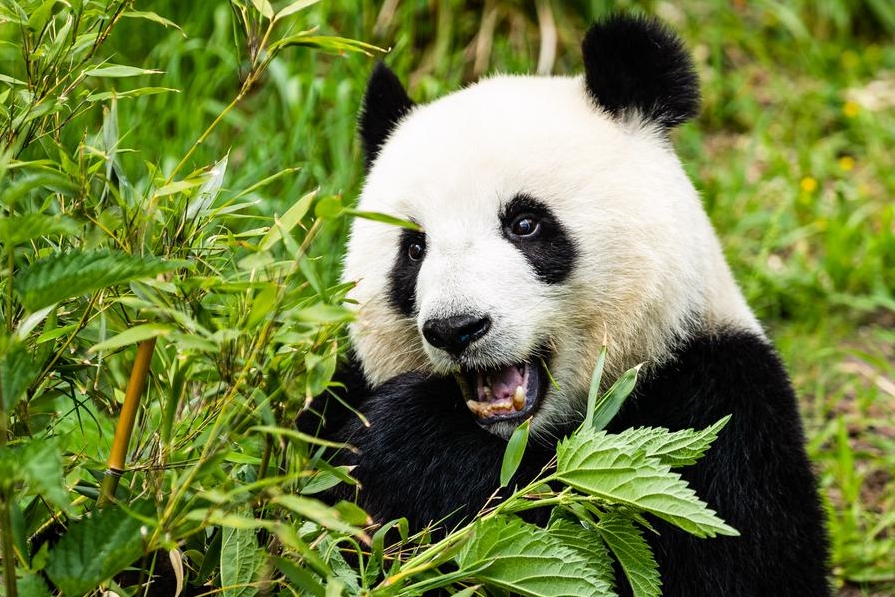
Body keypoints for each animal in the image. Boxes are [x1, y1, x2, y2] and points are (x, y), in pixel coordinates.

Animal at [310, 13, 831, 597]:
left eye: (525, 224)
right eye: (414, 248)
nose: (455, 327)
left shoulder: (722, 402)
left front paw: (410, 440)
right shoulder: (341, 387)